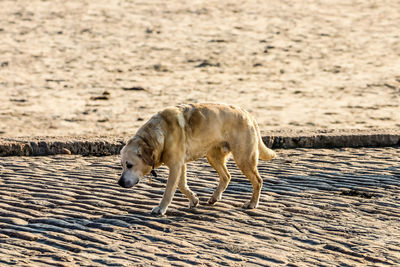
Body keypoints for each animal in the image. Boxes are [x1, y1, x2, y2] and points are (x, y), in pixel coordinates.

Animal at [118, 103, 276, 217]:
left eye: (129, 165)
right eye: (122, 166)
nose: (119, 183)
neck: (159, 134)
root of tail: (248, 114)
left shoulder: (176, 165)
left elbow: (169, 191)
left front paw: (161, 208)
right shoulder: (180, 165)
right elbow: (182, 185)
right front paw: (194, 199)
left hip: (244, 158)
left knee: (258, 181)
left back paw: (252, 203)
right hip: (213, 156)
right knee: (226, 176)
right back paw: (214, 198)